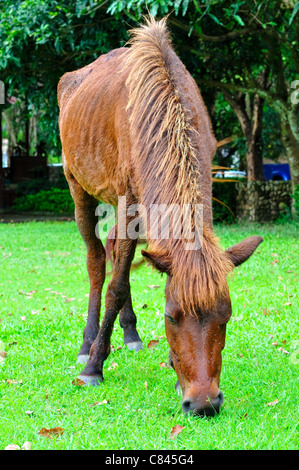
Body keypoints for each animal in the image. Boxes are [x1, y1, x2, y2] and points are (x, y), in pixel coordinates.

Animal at [58, 16, 262, 416]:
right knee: (96, 260)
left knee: (112, 249)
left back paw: (131, 333)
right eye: (170, 315)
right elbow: (117, 285)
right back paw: (87, 344)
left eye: (227, 315)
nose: (203, 403)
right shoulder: (125, 196)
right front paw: (95, 366)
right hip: (78, 186)